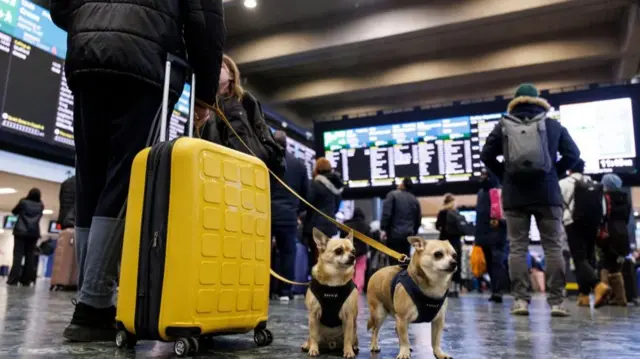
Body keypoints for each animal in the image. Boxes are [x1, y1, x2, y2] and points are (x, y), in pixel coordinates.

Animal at [302, 229, 358, 358]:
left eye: (353, 251)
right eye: (339, 250)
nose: (353, 257)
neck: (334, 280)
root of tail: (331, 343)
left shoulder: (348, 317)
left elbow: (348, 337)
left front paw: (348, 351)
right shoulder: (313, 315)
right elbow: (313, 335)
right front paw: (313, 349)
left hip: (354, 330)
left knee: (351, 338)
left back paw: (353, 347)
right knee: (310, 337)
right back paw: (307, 345)